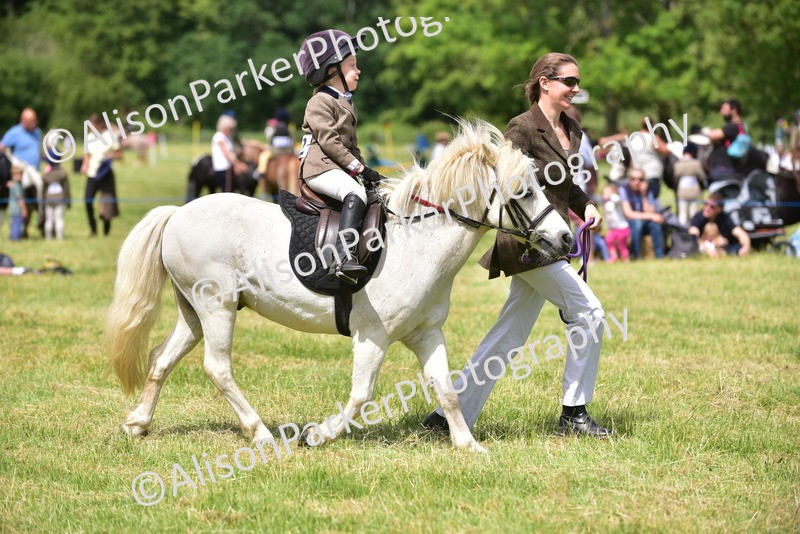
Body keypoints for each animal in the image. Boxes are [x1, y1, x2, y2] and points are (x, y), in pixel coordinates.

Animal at [107, 119, 572, 453]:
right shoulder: (373, 336)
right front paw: (318, 434)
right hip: (216, 307)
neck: (417, 242)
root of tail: (177, 213)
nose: (567, 239)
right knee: (217, 368)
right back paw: (260, 434)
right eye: (523, 191)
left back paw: (137, 424)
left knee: (162, 359)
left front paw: (467, 445)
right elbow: (361, 395)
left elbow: (447, 389)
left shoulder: (426, 333)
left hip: (194, 311)